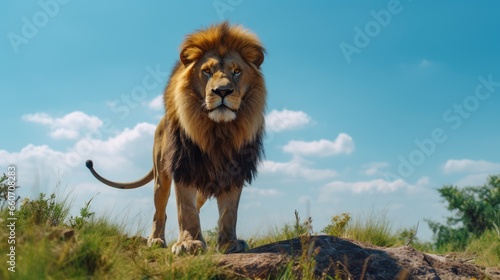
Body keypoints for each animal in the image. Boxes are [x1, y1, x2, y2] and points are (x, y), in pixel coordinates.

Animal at [86, 20, 266, 255]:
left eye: (236, 71)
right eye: (207, 71)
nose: (222, 91)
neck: (217, 130)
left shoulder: (235, 168)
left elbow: (229, 211)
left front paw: (229, 243)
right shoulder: (184, 165)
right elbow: (186, 210)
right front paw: (189, 243)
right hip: (161, 177)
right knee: (160, 211)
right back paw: (155, 240)